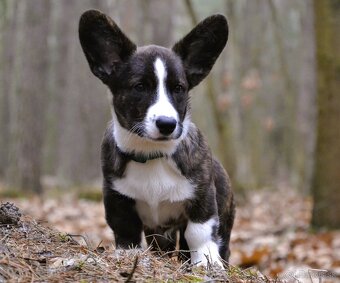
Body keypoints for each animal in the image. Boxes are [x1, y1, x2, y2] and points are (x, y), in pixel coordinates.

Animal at [78, 10, 235, 268]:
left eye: (179, 88)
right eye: (139, 86)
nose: (167, 124)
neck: (151, 154)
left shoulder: (202, 200)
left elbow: (198, 233)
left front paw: (206, 263)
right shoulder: (117, 200)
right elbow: (126, 232)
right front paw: (128, 257)